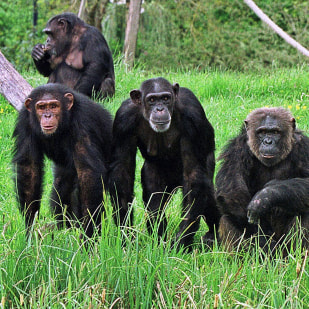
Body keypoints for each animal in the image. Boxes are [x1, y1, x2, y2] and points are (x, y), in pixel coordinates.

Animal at [12, 83, 113, 237]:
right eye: (41, 107)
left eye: (54, 106)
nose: (48, 115)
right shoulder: (25, 121)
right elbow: (29, 168)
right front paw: (30, 229)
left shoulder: (83, 121)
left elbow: (88, 173)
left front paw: (89, 234)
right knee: (62, 188)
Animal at [108, 77, 219, 248]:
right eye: (152, 100)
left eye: (166, 98)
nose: (160, 109)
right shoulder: (123, 120)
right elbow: (122, 172)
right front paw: (126, 234)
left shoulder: (193, 115)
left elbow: (194, 175)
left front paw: (182, 241)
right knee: (154, 201)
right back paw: (159, 241)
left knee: (207, 194)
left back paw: (215, 235)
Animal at [215, 106, 308, 250]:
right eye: (262, 132)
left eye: (275, 132)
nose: (268, 141)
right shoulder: (236, 149)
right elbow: (232, 191)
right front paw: (262, 242)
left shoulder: (304, 147)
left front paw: (265, 196)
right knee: (227, 216)